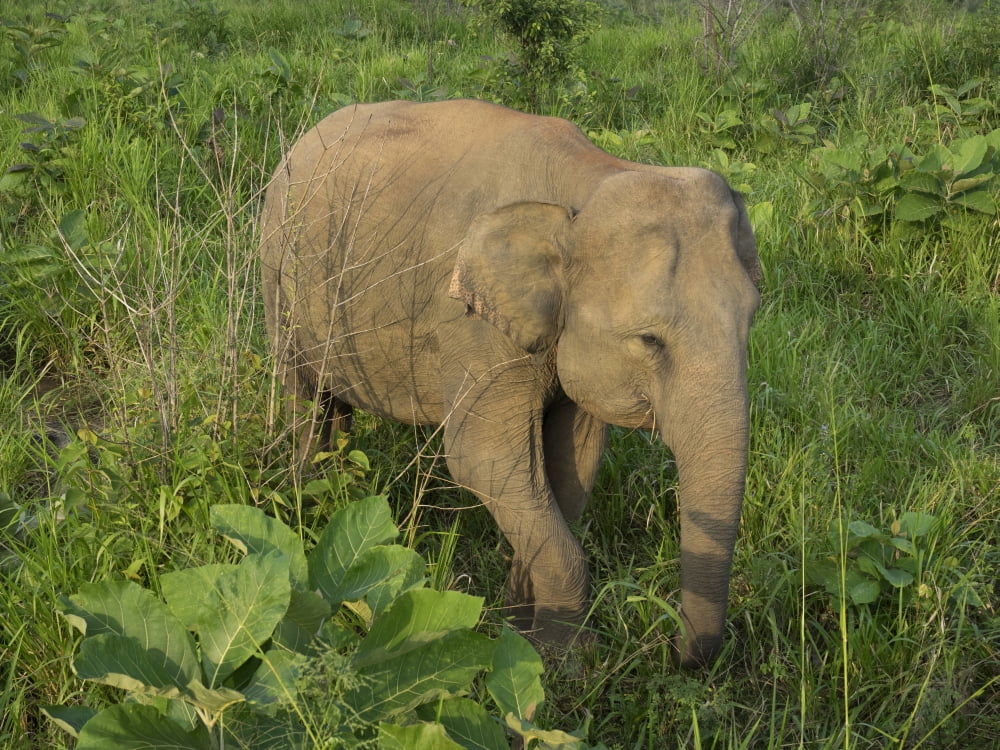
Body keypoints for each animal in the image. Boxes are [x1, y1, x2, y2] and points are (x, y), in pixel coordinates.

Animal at [259, 99, 760, 668]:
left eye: (751, 321)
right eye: (649, 340)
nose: (680, 655)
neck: (590, 180)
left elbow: (573, 460)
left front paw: (522, 629)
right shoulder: (474, 324)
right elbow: (485, 459)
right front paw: (567, 658)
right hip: (279, 269)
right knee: (306, 399)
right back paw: (306, 500)